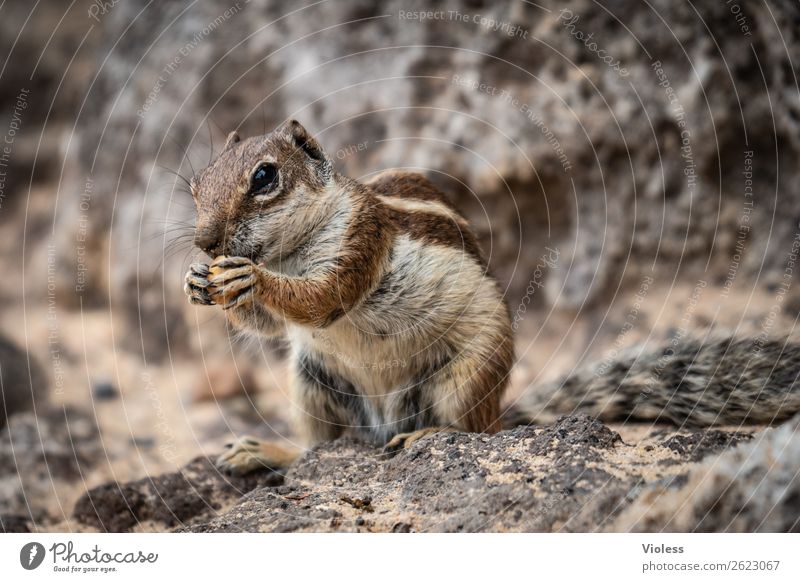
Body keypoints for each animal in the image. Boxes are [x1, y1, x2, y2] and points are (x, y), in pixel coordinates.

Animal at [184, 121, 800, 476]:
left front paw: (251, 281)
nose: (205, 241)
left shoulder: (361, 240)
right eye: (197, 183)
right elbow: (270, 326)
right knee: (319, 448)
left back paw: (426, 435)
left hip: (467, 373)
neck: (286, 250)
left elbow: (320, 298)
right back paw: (268, 452)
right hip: (312, 381)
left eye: (265, 177)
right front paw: (198, 281)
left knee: (471, 433)